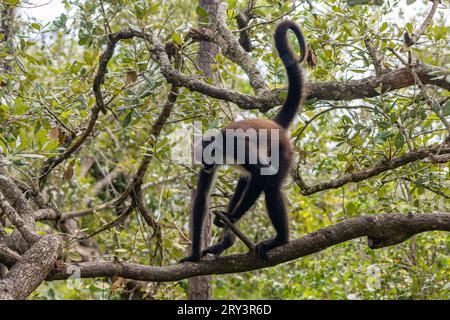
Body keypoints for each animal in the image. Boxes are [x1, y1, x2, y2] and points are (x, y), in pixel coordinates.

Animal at [181, 21, 308, 264]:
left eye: (212, 154)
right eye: (204, 160)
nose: (208, 165)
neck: (220, 143)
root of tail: (274, 124)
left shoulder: (236, 144)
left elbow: (260, 176)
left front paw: (231, 217)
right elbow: (201, 199)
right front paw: (193, 256)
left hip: (283, 152)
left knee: (270, 185)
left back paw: (280, 240)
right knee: (244, 180)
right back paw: (224, 244)